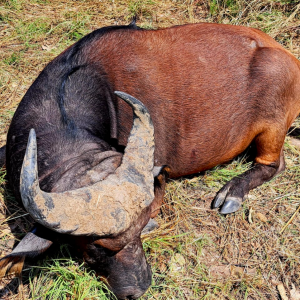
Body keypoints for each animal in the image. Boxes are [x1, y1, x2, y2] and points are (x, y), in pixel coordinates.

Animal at [0, 20, 300, 298]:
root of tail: (286, 56)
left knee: (275, 165)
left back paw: (231, 193)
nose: (140, 288)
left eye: (140, 231)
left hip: (272, 129)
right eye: (98, 246)